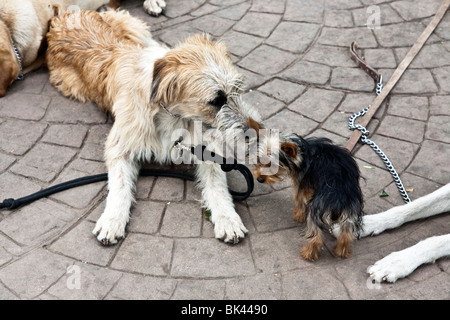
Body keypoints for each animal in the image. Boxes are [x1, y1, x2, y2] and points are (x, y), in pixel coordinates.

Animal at [45, 10, 260, 245]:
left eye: (238, 90)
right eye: (216, 101)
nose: (255, 131)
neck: (171, 114)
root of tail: (66, 14)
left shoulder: (207, 148)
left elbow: (217, 183)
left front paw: (227, 217)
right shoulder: (119, 147)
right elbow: (119, 185)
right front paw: (112, 219)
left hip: (138, 31)